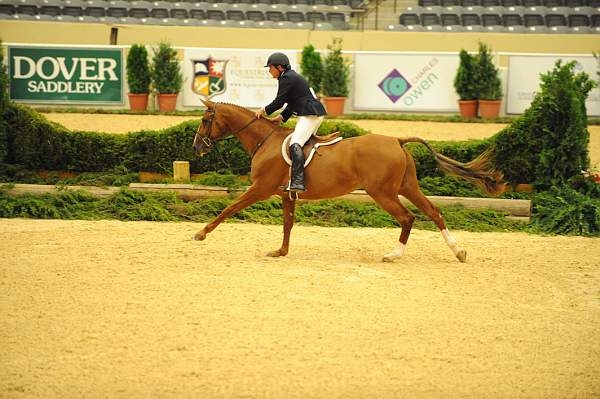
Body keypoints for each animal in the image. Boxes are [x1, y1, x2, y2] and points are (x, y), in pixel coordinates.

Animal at [192, 100, 502, 262]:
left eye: (206, 121)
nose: (196, 148)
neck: (264, 140)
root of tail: (397, 140)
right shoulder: (285, 194)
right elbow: (288, 224)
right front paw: (281, 251)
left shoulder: (260, 188)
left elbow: (229, 208)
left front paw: (201, 233)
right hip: (407, 187)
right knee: (434, 212)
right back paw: (458, 251)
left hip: (382, 193)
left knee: (407, 218)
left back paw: (394, 255)